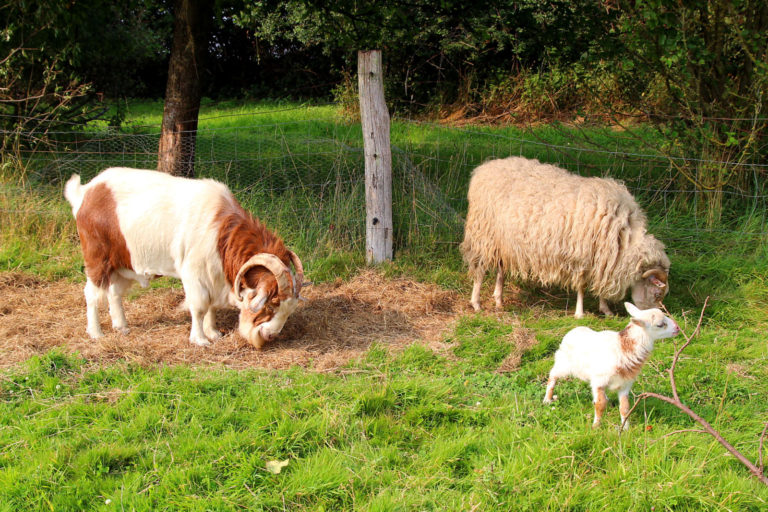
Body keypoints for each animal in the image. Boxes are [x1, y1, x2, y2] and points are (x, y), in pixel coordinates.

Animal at [63, 168, 304, 348]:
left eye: (289, 309)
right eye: (271, 305)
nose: (270, 335)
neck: (221, 232)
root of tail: (86, 192)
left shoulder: (215, 276)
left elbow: (212, 306)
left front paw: (213, 332)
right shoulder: (194, 274)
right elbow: (199, 306)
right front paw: (200, 339)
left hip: (123, 263)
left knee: (114, 292)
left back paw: (121, 326)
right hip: (98, 258)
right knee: (92, 294)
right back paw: (96, 333)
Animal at [460, 157, 668, 316]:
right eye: (657, 294)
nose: (657, 317)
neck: (624, 236)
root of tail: (485, 168)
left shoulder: (603, 258)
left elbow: (600, 285)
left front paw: (606, 309)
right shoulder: (582, 256)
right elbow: (582, 286)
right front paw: (580, 313)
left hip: (503, 241)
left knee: (501, 269)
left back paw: (499, 299)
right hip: (483, 234)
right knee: (480, 269)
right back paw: (476, 303)